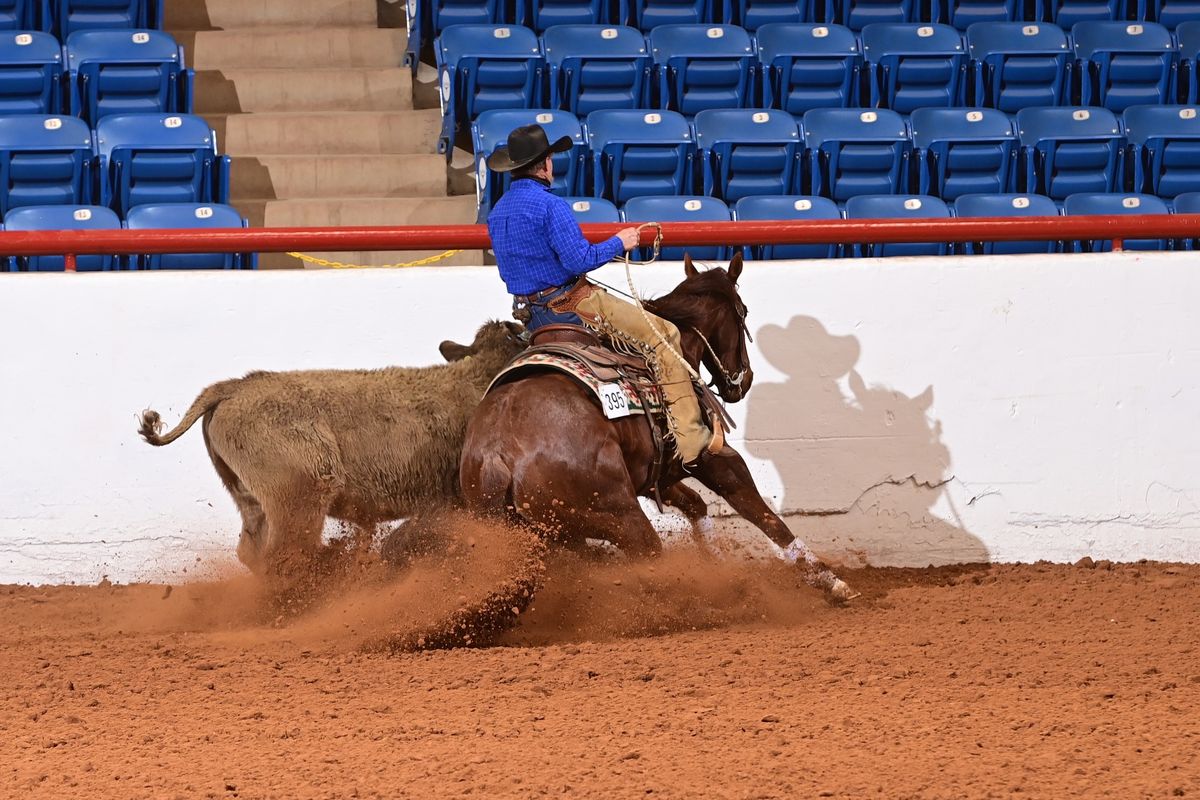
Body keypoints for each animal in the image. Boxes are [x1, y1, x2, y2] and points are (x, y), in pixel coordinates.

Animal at [138, 321, 523, 575]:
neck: (474, 378)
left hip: (252, 501)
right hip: (301, 496)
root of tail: (235, 386)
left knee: (252, 550)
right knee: (285, 555)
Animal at [458, 253, 854, 597]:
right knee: (648, 558)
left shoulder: (657, 474)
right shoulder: (712, 458)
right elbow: (761, 512)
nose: (744, 380)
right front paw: (830, 581)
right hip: (622, 519)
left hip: (553, 535)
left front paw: (715, 562)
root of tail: (497, 454)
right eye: (743, 312)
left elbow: (696, 505)